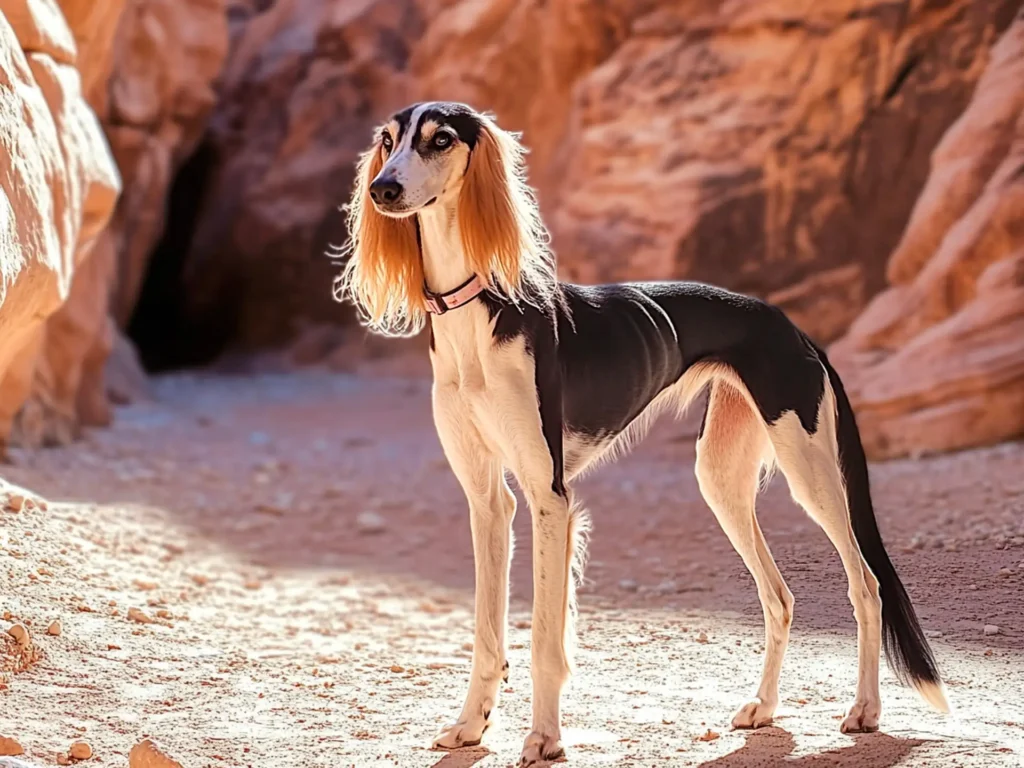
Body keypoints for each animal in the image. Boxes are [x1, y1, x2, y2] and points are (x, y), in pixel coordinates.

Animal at [339, 100, 946, 765]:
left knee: (867, 586)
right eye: (388, 141)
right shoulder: (488, 501)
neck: (476, 311)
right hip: (720, 477)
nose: (383, 190)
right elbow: (486, 632)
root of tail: (792, 327)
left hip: (810, 469)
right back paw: (764, 707)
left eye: (440, 140)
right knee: (779, 596)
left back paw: (865, 709)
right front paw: (472, 724)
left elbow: (546, 637)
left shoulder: (550, 497)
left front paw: (544, 737)